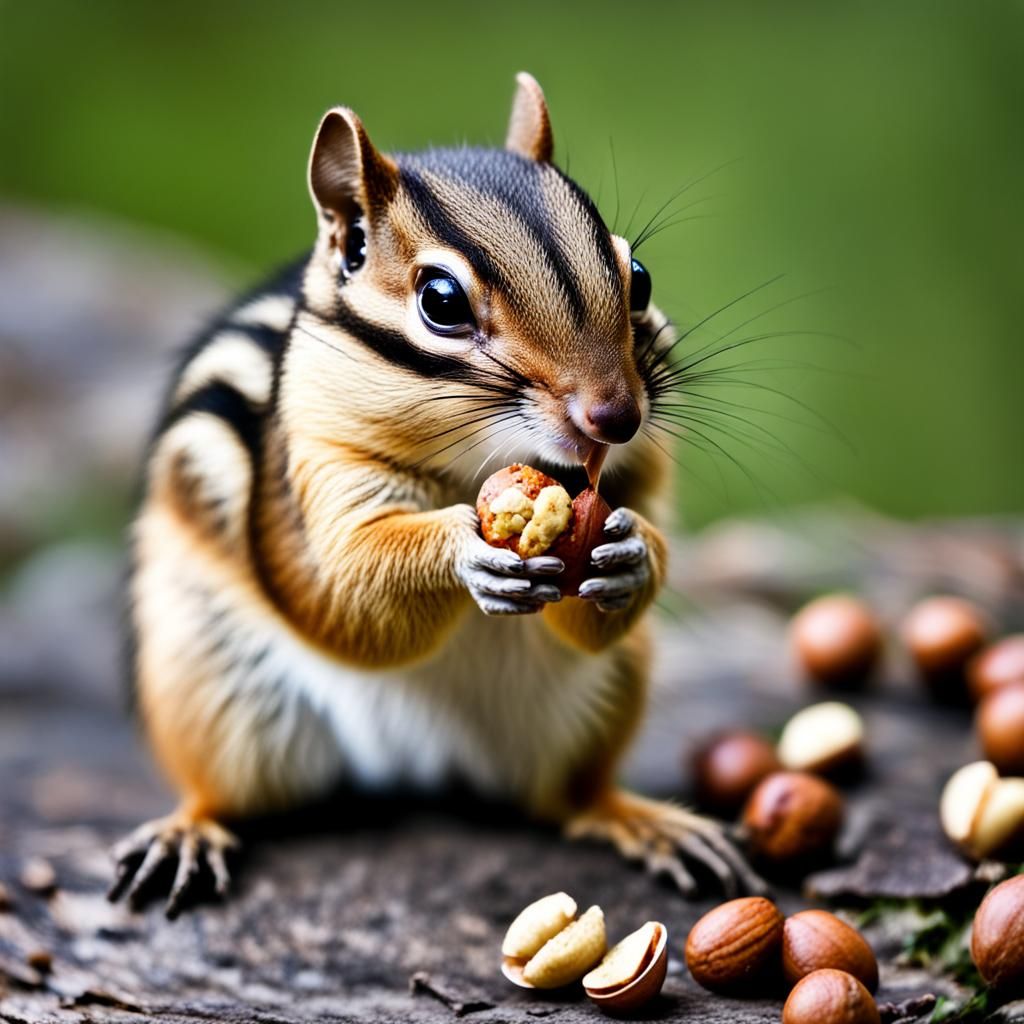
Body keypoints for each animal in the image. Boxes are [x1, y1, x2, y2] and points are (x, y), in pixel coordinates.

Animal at [109, 73, 764, 917]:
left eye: (640, 277)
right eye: (442, 302)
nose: (615, 417)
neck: (477, 466)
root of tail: (422, 759)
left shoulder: (642, 473)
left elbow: (608, 592)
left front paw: (633, 554)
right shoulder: (317, 466)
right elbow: (346, 592)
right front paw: (461, 550)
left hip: (601, 698)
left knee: (569, 801)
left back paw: (647, 820)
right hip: (207, 681)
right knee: (222, 793)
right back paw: (186, 831)